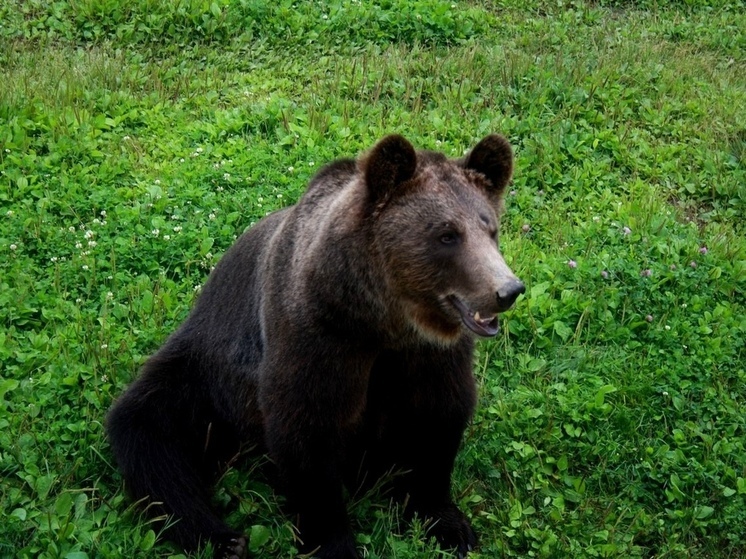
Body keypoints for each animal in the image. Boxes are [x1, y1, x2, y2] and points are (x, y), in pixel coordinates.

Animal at [104, 133, 524, 556]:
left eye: (490, 228)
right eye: (447, 235)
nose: (507, 290)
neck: (381, 320)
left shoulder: (429, 355)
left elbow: (437, 418)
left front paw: (447, 522)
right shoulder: (317, 336)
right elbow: (307, 432)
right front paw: (333, 541)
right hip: (202, 375)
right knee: (151, 433)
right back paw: (223, 538)